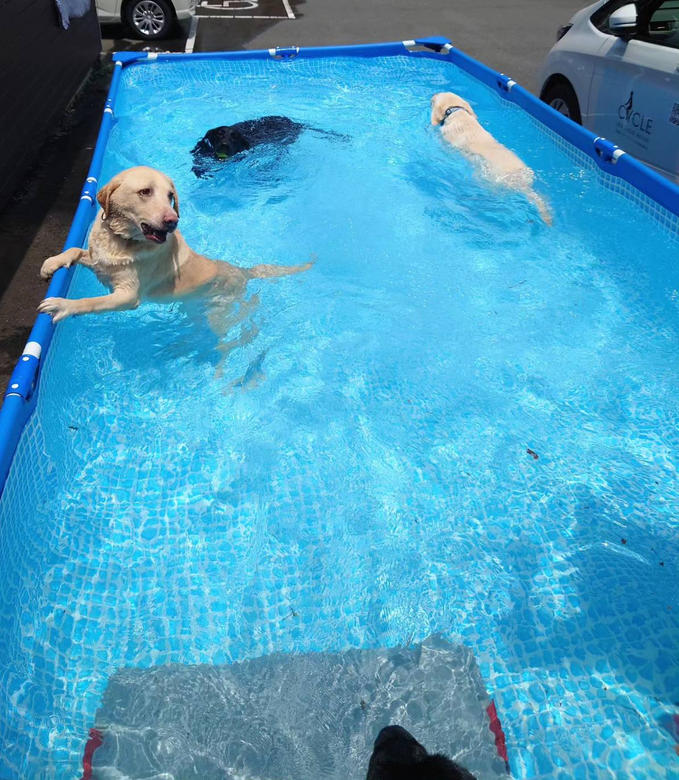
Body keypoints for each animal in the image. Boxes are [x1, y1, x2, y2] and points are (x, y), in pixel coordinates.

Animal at [39, 166, 310, 322]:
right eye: (145, 192)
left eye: (170, 196)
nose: (173, 221)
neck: (122, 239)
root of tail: (241, 271)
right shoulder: (100, 262)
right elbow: (75, 250)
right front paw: (52, 263)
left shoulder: (128, 296)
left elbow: (92, 302)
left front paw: (63, 305)